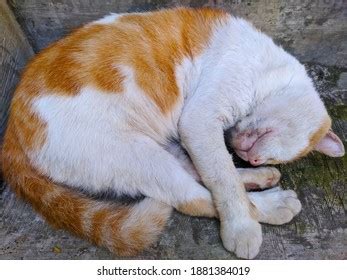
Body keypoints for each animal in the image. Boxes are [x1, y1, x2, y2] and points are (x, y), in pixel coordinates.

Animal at [0, 7, 346, 260]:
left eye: (263, 155)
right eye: (266, 138)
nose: (251, 157)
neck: (270, 69)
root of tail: (11, 128)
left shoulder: (199, 131)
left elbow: (217, 169)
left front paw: (253, 173)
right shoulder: (198, 121)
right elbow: (222, 179)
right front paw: (241, 227)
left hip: (151, 149)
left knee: (193, 173)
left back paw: (261, 183)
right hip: (136, 154)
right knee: (192, 197)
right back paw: (271, 205)